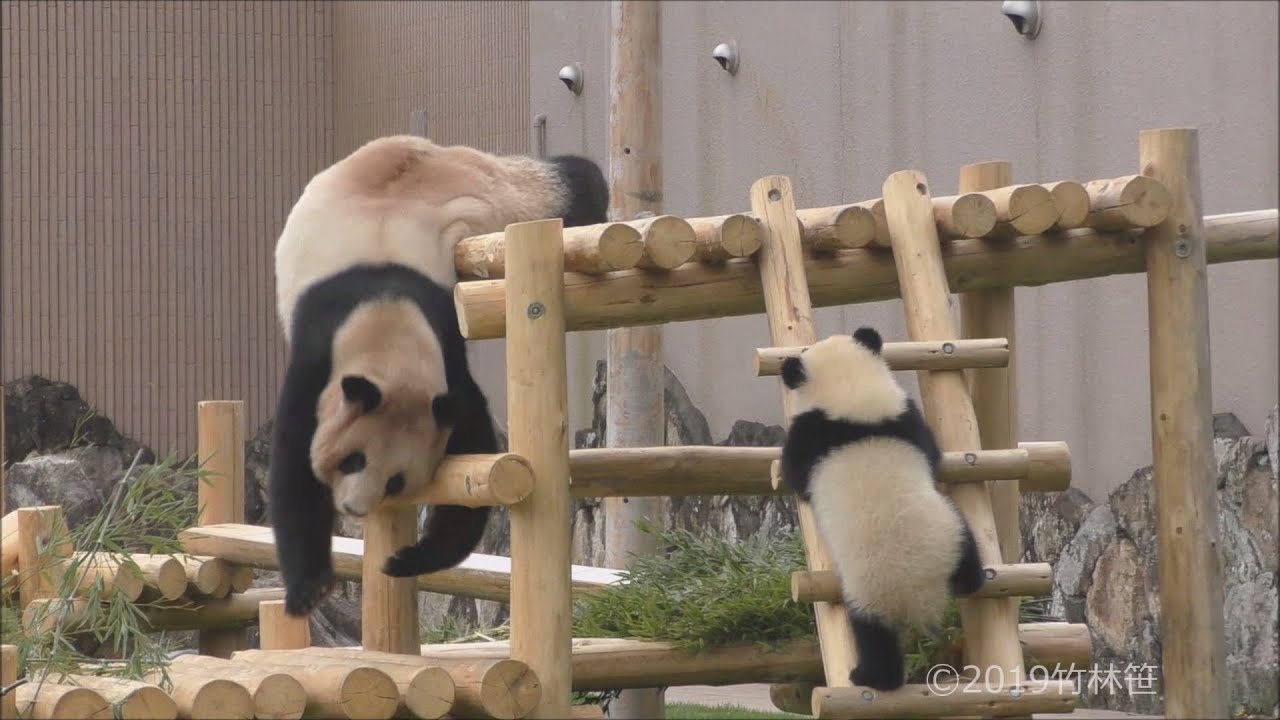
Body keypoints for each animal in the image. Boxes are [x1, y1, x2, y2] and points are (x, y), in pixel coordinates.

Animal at [269, 135, 609, 617]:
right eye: (352, 459)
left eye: (396, 479)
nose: (355, 508)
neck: (389, 323)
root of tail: (414, 145)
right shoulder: (318, 362)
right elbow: (294, 468)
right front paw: (308, 589)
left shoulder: (448, 356)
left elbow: (473, 454)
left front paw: (409, 559)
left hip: (498, 194)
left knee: (567, 184)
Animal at [778, 327, 987, 691]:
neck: (851, 394)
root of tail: (920, 594)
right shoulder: (904, 416)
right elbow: (931, 452)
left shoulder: (811, 434)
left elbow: (795, 471)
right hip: (952, 531)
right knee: (969, 560)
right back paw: (972, 581)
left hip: (868, 591)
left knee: (873, 637)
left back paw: (869, 677)